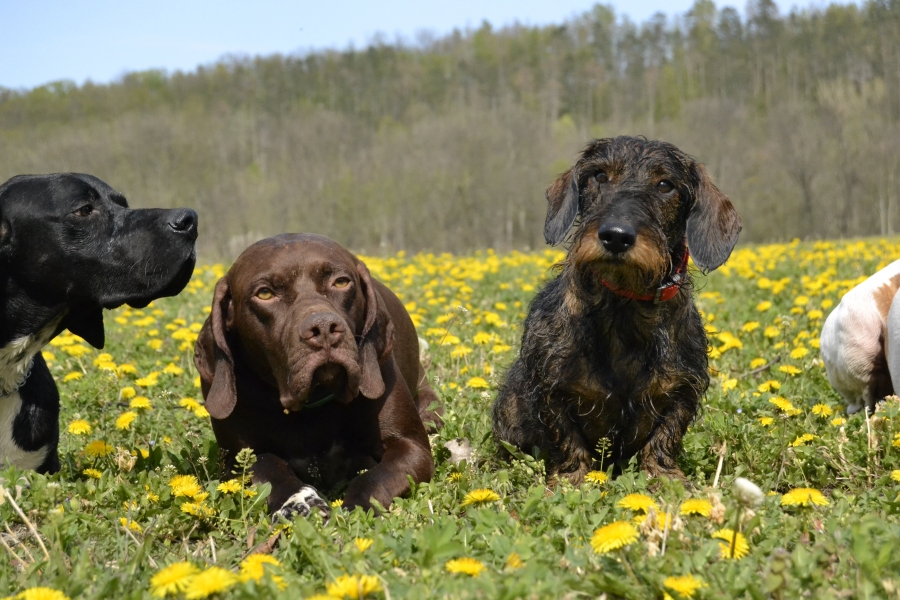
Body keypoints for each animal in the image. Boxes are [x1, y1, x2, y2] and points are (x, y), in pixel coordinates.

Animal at [194, 233, 440, 519]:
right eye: (265, 293)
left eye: (341, 282)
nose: (323, 328)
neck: (313, 403)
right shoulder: (237, 459)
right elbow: (270, 469)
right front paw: (299, 501)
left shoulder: (411, 448)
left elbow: (373, 478)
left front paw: (355, 509)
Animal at [492, 136, 741, 484]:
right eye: (599, 176)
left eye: (665, 185)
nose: (616, 236)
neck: (625, 306)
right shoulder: (551, 390)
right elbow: (567, 439)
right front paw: (571, 480)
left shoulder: (682, 390)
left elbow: (665, 437)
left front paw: (664, 477)